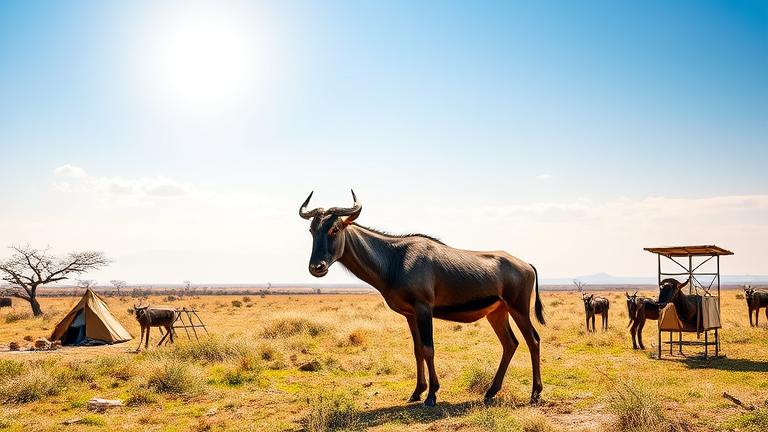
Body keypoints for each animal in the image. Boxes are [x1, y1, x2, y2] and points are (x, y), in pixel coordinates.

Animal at [299, 191, 545, 405]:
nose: (317, 267)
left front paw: (432, 395)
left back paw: (535, 394)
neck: (395, 257)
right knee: (510, 343)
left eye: (335, 228)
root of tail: (526, 265)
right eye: (312, 229)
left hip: (518, 309)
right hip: (497, 313)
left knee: (533, 340)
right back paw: (491, 391)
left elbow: (428, 349)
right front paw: (417, 392)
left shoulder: (424, 309)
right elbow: (417, 350)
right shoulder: (410, 315)